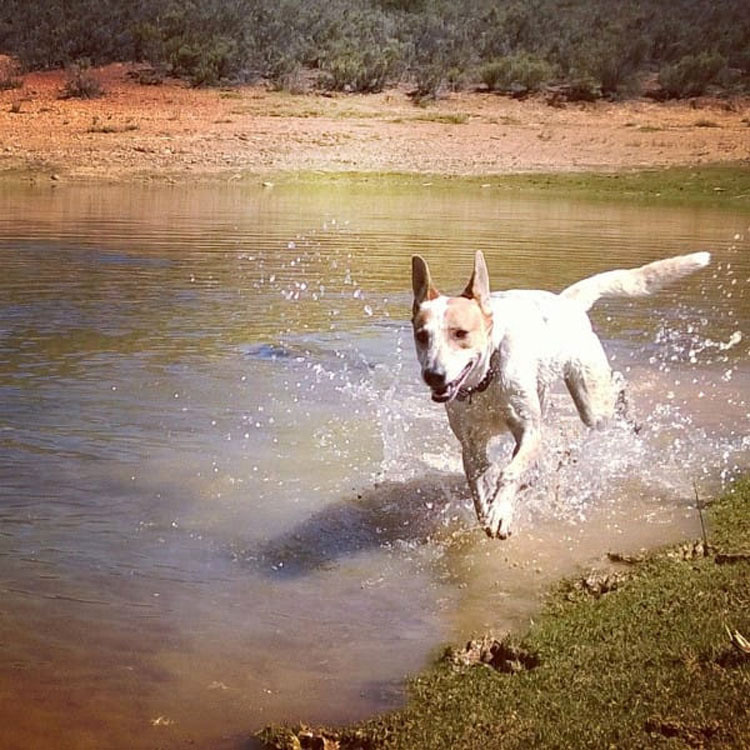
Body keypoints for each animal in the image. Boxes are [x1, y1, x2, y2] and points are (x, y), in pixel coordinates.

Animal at [414, 253, 712, 540]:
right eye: (421, 336)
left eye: (460, 333)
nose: (433, 375)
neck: (485, 382)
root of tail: (567, 303)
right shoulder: (471, 445)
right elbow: (479, 484)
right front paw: (488, 510)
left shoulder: (530, 430)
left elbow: (509, 473)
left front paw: (500, 513)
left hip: (591, 403)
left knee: (617, 383)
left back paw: (630, 417)